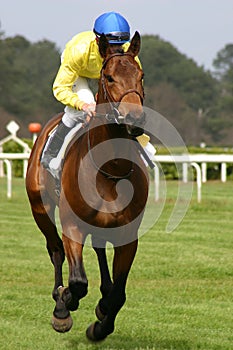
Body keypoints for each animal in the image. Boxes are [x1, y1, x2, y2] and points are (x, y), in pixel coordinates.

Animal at [26, 30, 149, 342]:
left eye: (141, 76)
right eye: (109, 77)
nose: (134, 120)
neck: (111, 169)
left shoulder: (128, 233)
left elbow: (119, 294)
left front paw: (101, 324)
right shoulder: (72, 224)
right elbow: (78, 281)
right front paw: (65, 303)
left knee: (100, 249)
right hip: (40, 208)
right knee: (55, 249)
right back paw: (60, 302)